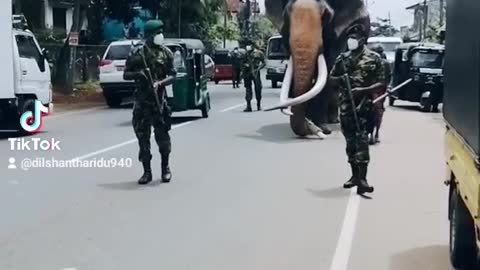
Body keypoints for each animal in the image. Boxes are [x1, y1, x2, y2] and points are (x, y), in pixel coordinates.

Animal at [262, 0, 372, 137]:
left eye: (325, 16)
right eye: (286, 14)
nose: (310, 127)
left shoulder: (338, 36)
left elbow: (328, 72)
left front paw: (322, 128)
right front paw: (311, 122)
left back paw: (333, 121)